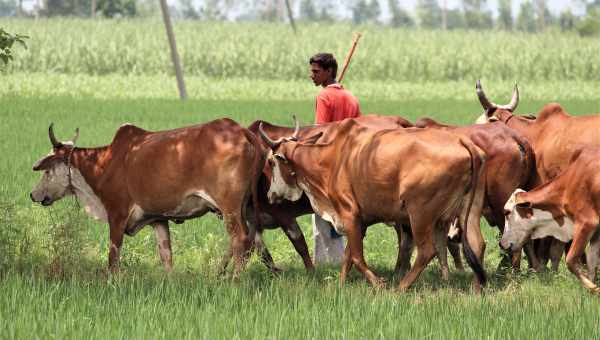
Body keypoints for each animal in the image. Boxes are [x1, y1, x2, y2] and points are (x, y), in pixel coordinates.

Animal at [30, 120, 264, 276]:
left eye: (47, 171)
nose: (33, 195)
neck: (103, 164)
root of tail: (241, 131)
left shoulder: (117, 215)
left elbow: (113, 256)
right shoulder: (158, 219)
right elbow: (166, 255)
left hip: (229, 208)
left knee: (240, 240)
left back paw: (234, 281)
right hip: (245, 209)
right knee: (250, 241)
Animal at [258, 117, 488, 292]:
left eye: (271, 161)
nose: (270, 195)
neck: (331, 159)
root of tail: (462, 142)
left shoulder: (349, 215)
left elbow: (357, 257)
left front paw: (378, 283)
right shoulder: (360, 221)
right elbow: (348, 256)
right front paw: (340, 285)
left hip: (419, 214)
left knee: (426, 251)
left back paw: (401, 287)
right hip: (468, 211)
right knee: (476, 244)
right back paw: (477, 287)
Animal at [502, 147, 600, 294]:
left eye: (507, 212)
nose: (501, 243)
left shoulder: (586, 223)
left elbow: (570, 259)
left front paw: (593, 287)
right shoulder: (597, 231)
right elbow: (592, 261)